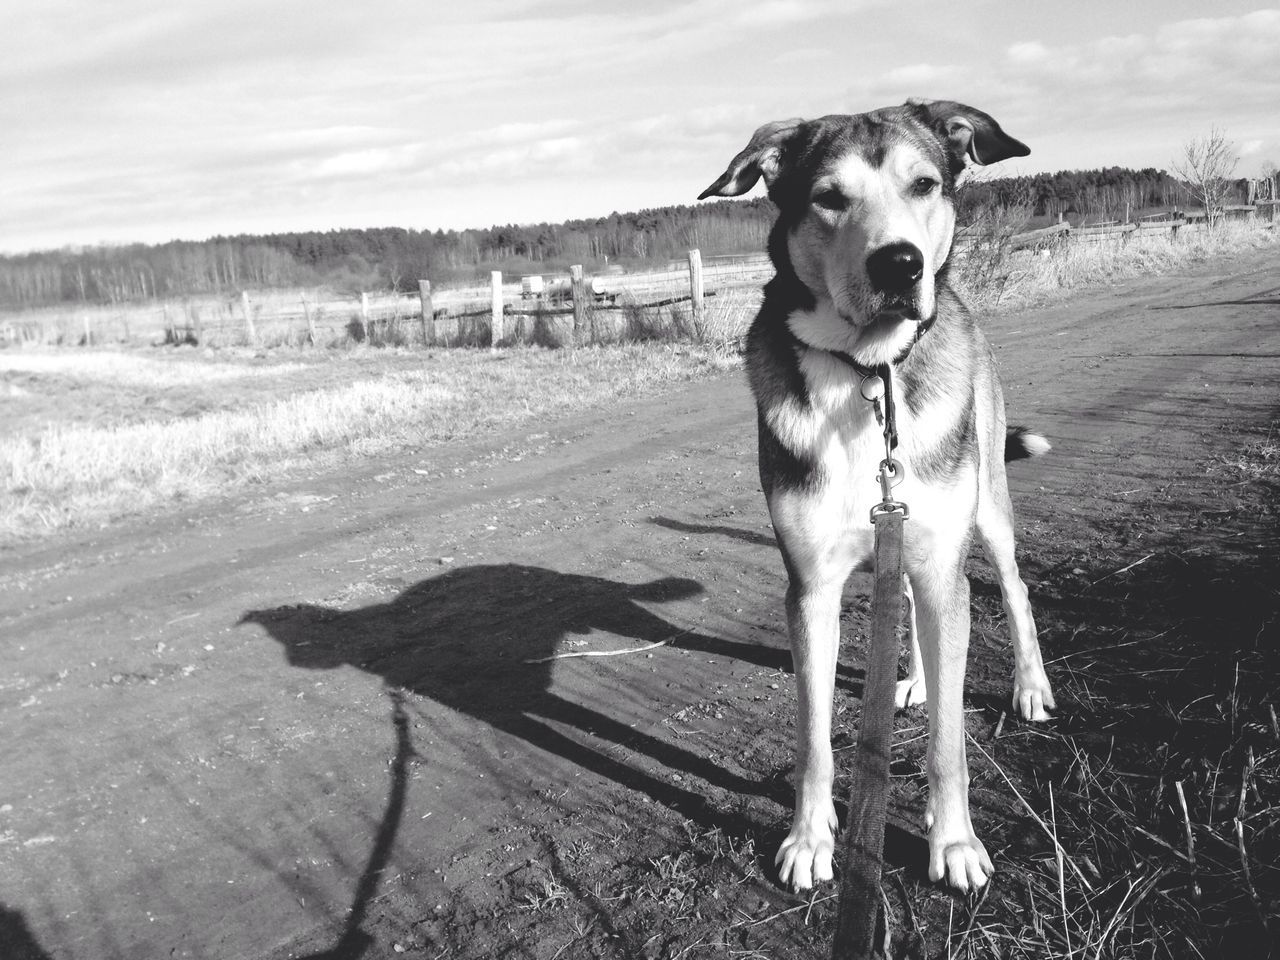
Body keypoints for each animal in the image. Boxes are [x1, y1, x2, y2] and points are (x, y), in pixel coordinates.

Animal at [706, 101, 1054, 901]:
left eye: (924, 184)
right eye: (829, 197)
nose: (900, 264)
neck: (866, 373)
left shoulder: (944, 565)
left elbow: (950, 744)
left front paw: (954, 844)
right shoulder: (810, 587)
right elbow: (812, 737)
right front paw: (808, 840)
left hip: (985, 513)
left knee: (1014, 589)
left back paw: (1030, 686)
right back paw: (917, 679)